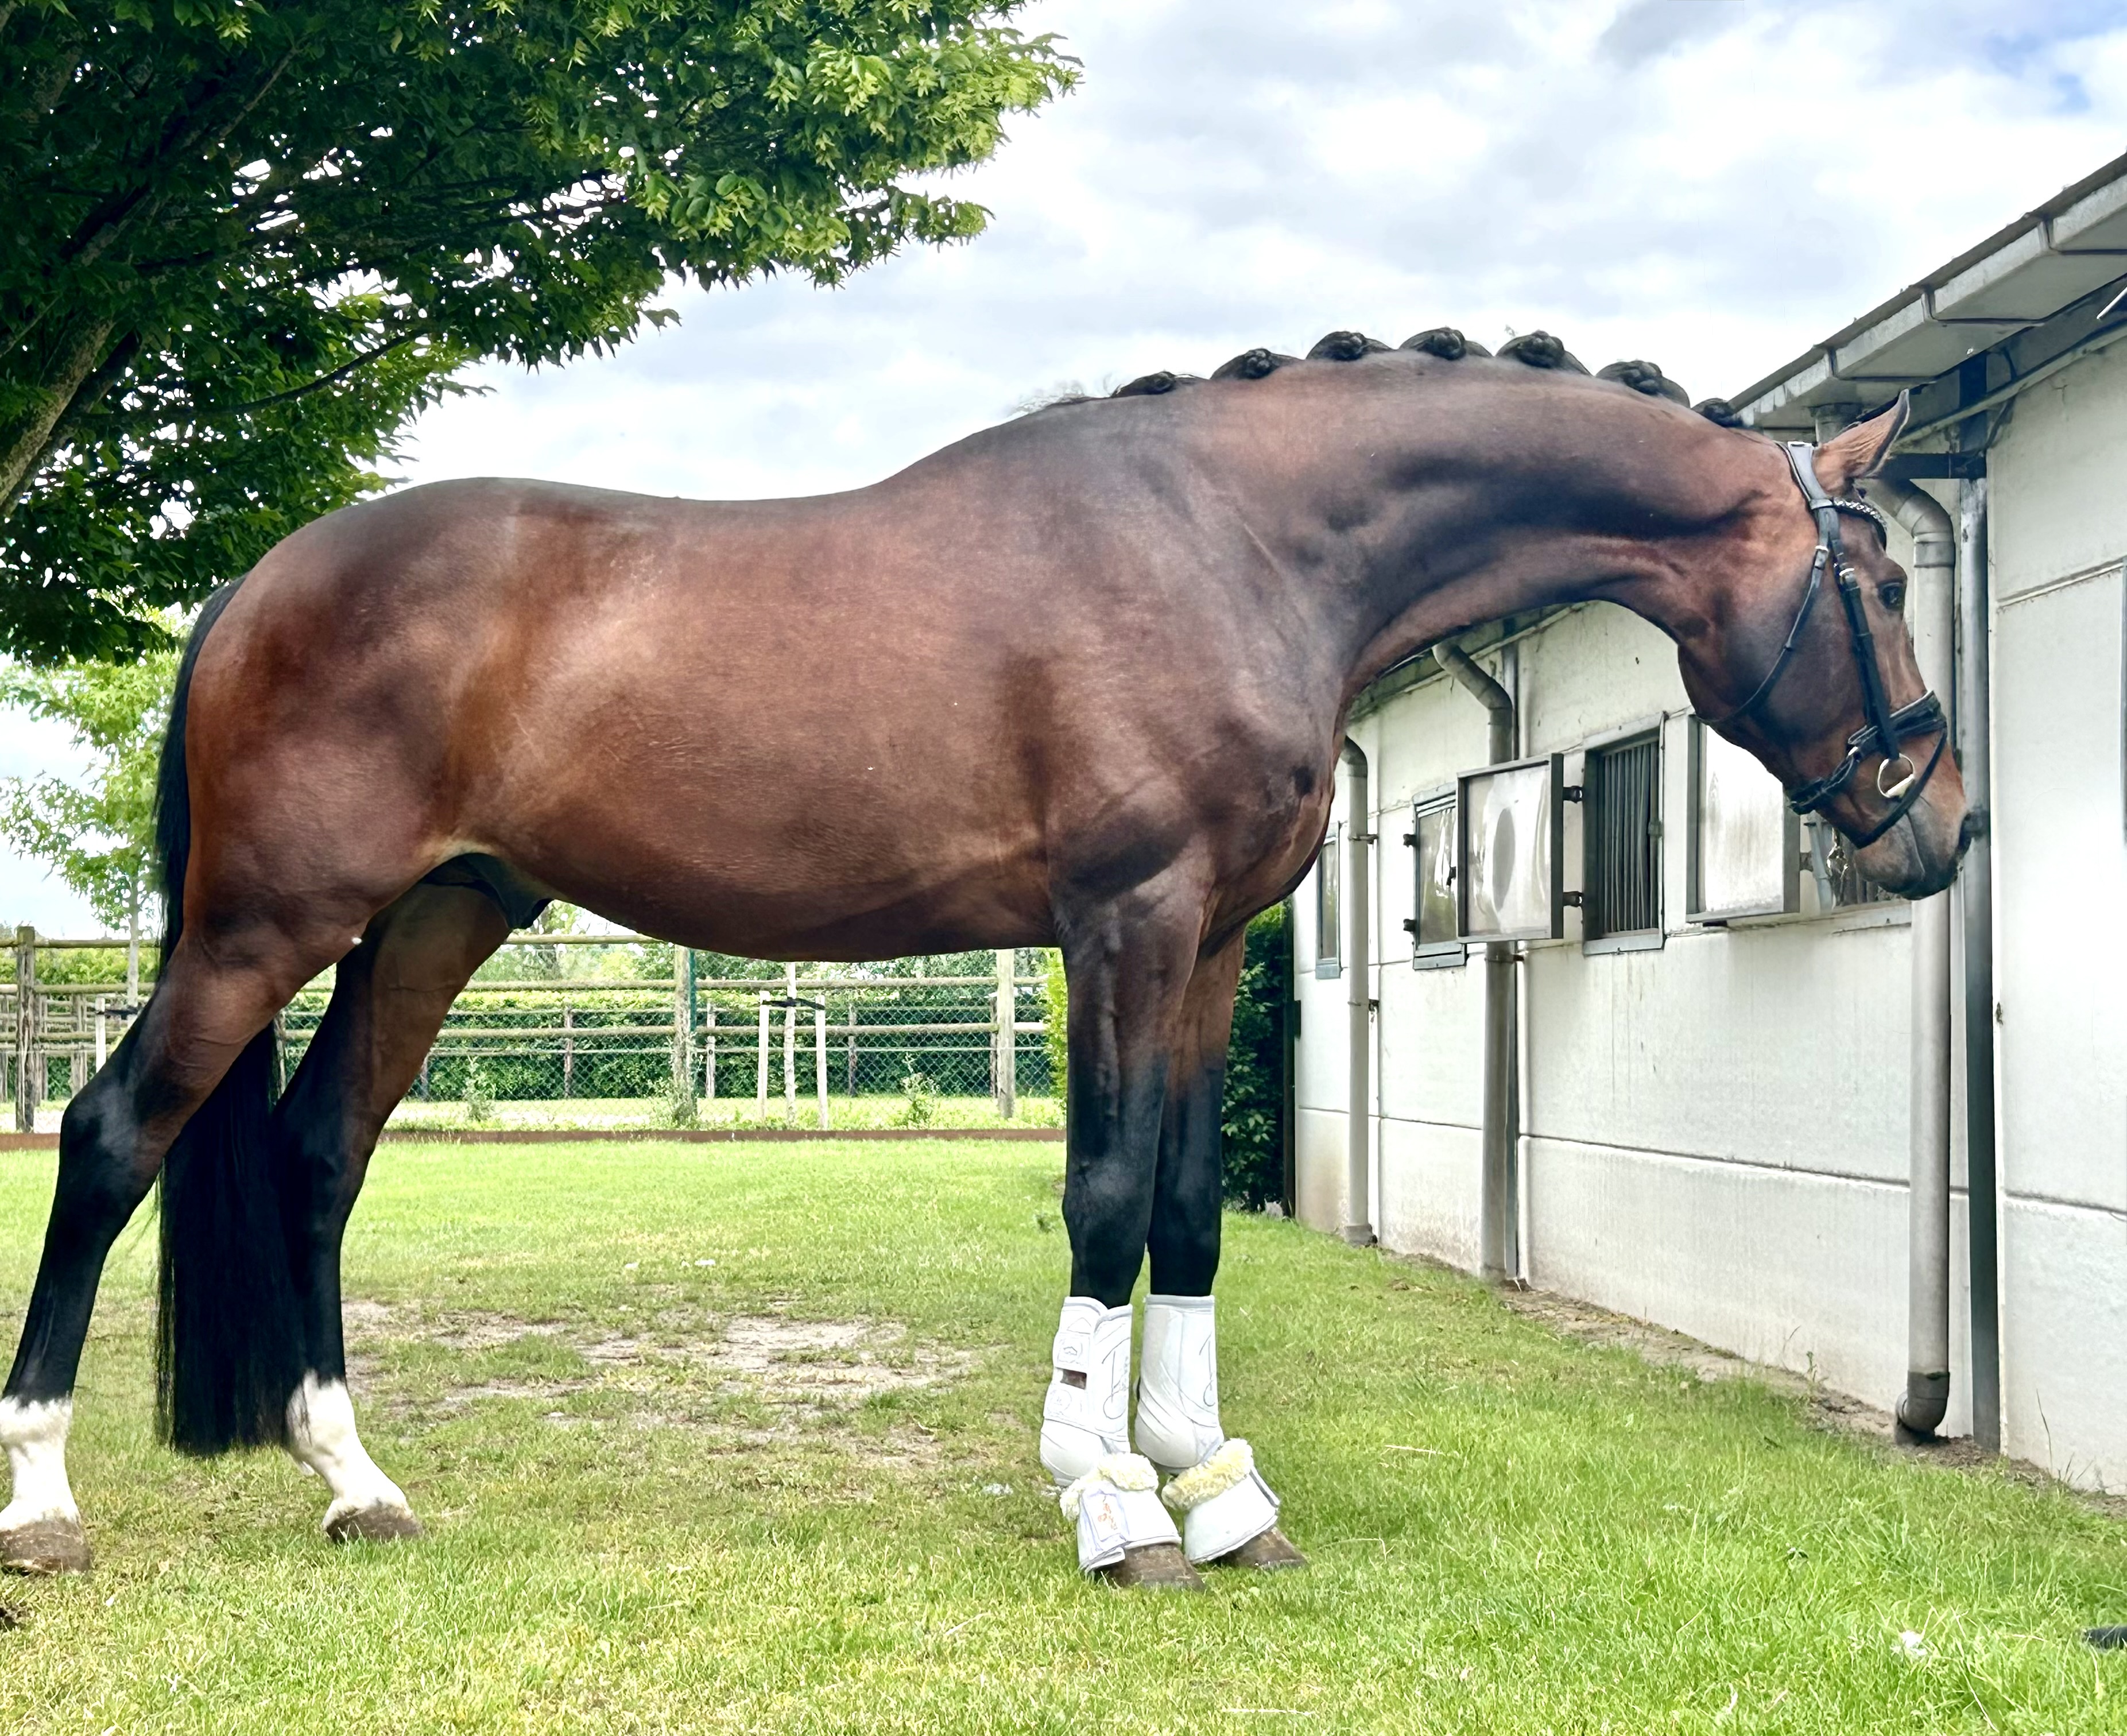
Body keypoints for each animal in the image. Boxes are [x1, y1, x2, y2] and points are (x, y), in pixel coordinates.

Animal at [0, 328, 1971, 1588]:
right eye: (1877, 584)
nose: (1939, 822)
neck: (1232, 545)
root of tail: (253, 588)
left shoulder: (1207, 942)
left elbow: (1183, 1208)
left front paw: (1215, 1490)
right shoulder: (1124, 922)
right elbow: (1101, 1199)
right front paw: (1109, 1505)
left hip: (434, 916)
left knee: (317, 1156)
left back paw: (358, 1484)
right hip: (263, 927)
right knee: (112, 1140)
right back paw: (44, 1506)